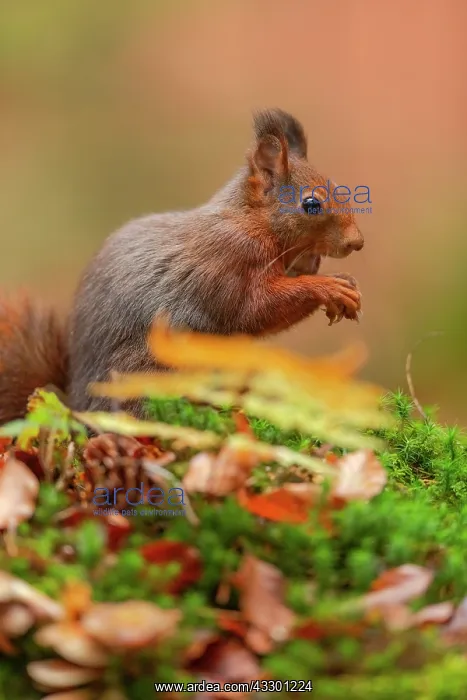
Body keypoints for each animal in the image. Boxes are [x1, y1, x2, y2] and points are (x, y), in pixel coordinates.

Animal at [0, 108, 363, 424]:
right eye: (311, 204)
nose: (356, 243)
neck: (250, 222)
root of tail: (78, 404)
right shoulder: (226, 264)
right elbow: (255, 310)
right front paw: (330, 287)